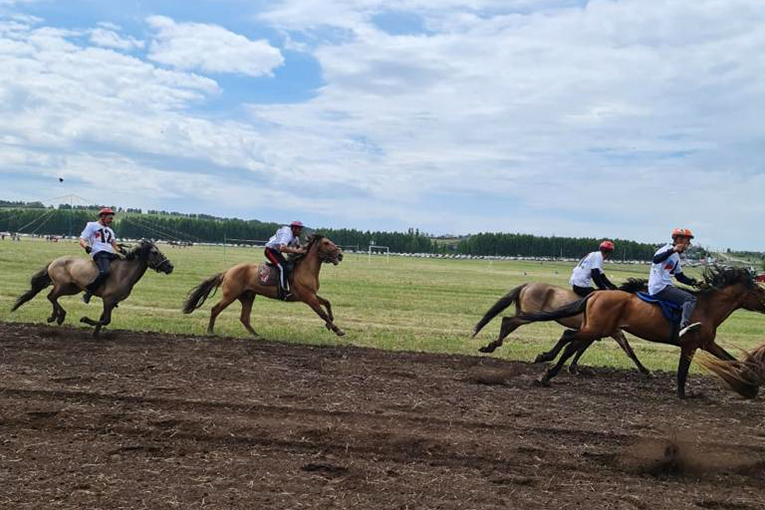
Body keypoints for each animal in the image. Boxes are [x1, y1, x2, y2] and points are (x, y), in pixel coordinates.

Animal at [11, 240, 174, 336]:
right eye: (155, 252)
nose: (170, 266)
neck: (124, 272)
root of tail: (54, 261)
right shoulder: (108, 300)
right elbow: (106, 320)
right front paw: (85, 320)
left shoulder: (110, 302)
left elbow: (103, 319)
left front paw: (95, 334)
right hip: (63, 286)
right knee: (51, 296)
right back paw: (58, 316)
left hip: (73, 288)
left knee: (52, 297)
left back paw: (55, 316)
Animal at [182, 235, 344, 338]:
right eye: (326, 243)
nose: (340, 255)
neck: (305, 269)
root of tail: (227, 271)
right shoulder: (308, 297)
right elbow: (322, 313)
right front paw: (337, 330)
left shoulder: (312, 294)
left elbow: (327, 303)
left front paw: (330, 324)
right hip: (231, 295)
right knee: (215, 309)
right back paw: (210, 331)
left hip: (247, 296)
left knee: (244, 318)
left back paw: (256, 335)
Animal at [474, 276, 648, 376]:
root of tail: (527, 285)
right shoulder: (594, 331)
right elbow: (578, 348)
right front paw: (570, 367)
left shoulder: (610, 332)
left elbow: (629, 351)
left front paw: (644, 370)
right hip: (528, 315)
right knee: (507, 321)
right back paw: (492, 346)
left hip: (525, 314)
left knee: (509, 323)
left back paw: (490, 346)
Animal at [510, 266, 764, 398]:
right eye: (759, 291)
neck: (706, 308)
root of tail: (596, 293)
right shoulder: (691, 345)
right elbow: (683, 371)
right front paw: (683, 394)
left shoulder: (706, 343)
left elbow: (731, 359)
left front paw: (750, 383)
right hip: (596, 328)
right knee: (568, 338)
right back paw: (545, 363)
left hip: (594, 328)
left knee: (571, 343)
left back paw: (549, 373)